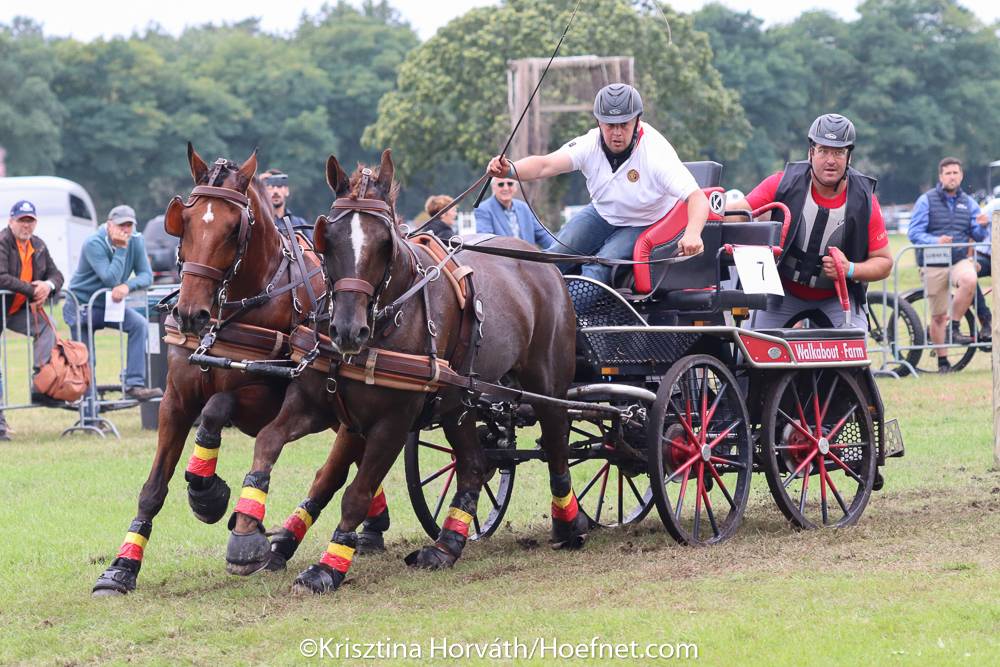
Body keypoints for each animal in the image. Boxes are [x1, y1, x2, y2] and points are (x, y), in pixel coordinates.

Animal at [92, 145, 388, 595]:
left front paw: (208, 494)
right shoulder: (175, 400)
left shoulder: (268, 400)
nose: (190, 313)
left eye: (234, 229)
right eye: (185, 222)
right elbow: (154, 486)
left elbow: (217, 406)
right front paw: (121, 567)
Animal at [224, 149, 585, 594]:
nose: (347, 330)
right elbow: (282, 451)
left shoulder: (392, 423)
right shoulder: (325, 408)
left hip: (547, 384)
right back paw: (445, 546)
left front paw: (328, 565)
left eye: (385, 243)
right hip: (458, 403)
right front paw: (249, 538)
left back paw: (569, 525)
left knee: (556, 446)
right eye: (328, 239)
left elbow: (356, 492)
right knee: (473, 464)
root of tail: (543, 262)